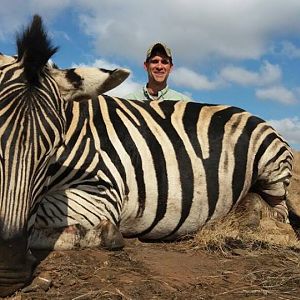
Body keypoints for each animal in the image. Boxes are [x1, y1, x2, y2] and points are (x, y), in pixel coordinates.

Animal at [0, 15, 298, 296]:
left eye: (52, 150)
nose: (9, 271)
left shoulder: (103, 190)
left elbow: (42, 217)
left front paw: (101, 234)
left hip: (272, 167)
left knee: (280, 215)